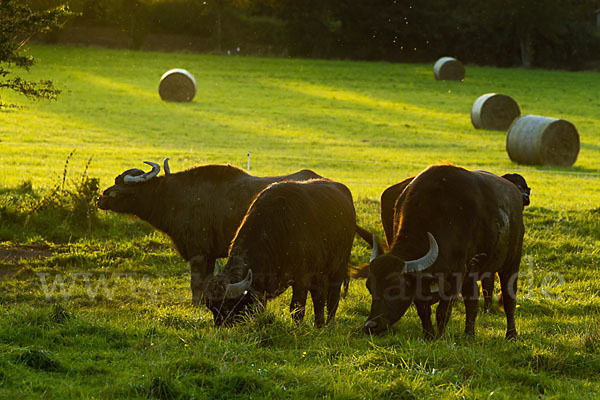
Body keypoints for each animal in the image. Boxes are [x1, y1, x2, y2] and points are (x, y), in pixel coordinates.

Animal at [97, 159, 324, 304]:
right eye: (115, 181)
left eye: (120, 187)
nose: (101, 198)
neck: (173, 197)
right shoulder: (209, 255)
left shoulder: (197, 253)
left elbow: (196, 282)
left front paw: (195, 304)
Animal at [204, 179, 358, 328]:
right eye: (211, 307)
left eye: (227, 308)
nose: (220, 329)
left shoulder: (302, 279)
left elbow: (297, 308)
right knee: (319, 298)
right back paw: (319, 324)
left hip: (339, 267)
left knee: (333, 297)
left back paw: (329, 324)